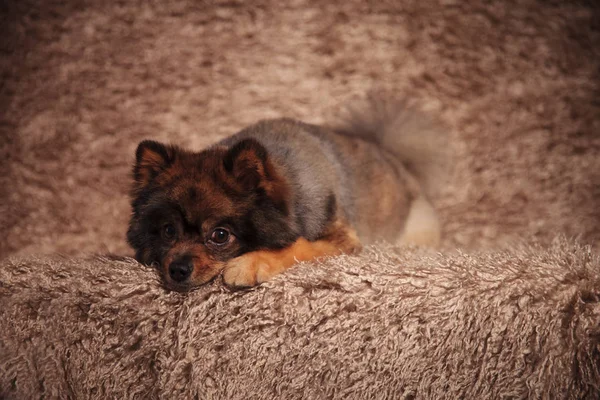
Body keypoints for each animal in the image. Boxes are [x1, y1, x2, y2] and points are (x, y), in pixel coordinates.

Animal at [127, 95, 450, 290]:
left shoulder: (341, 239)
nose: (177, 269)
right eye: (168, 231)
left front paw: (249, 263)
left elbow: (298, 245)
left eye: (220, 235)